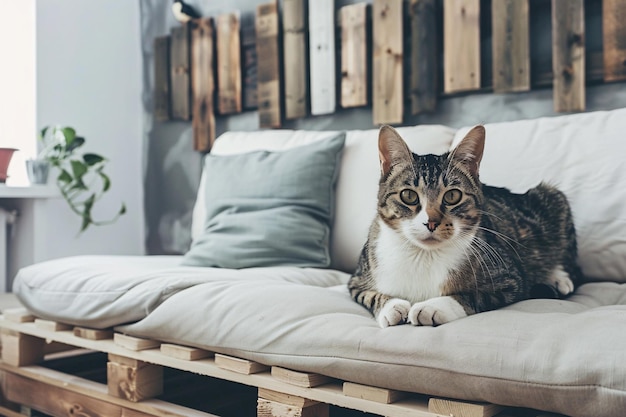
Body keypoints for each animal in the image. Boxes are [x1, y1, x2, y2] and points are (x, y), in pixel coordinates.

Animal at [346, 125, 580, 326]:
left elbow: (472, 295)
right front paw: (391, 306)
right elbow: (368, 294)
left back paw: (559, 278)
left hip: (553, 197)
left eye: (452, 196)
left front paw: (432, 307)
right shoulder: (357, 278)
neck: (424, 255)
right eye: (408, 196)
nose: (431, 222)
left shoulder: (511, 278)